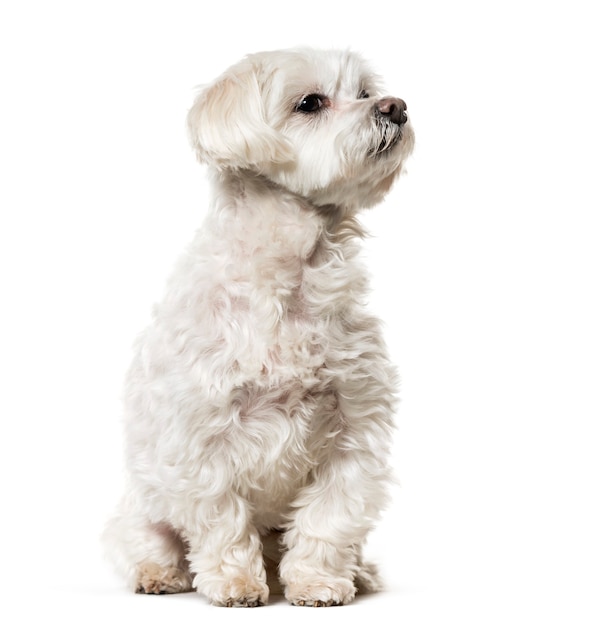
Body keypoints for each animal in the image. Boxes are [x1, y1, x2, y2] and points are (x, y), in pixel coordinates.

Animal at [103, 45, 414, 604]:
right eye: (310, 102)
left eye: (365, 92)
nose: (396, 106)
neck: (295, 277)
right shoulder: (202, 436)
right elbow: (221, 518)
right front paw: (235, 582)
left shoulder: (354, 427)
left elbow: (330, 517)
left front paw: (318, 581)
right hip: (144, 500)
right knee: (147, 538)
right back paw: (159, 574)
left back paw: (357, 572)